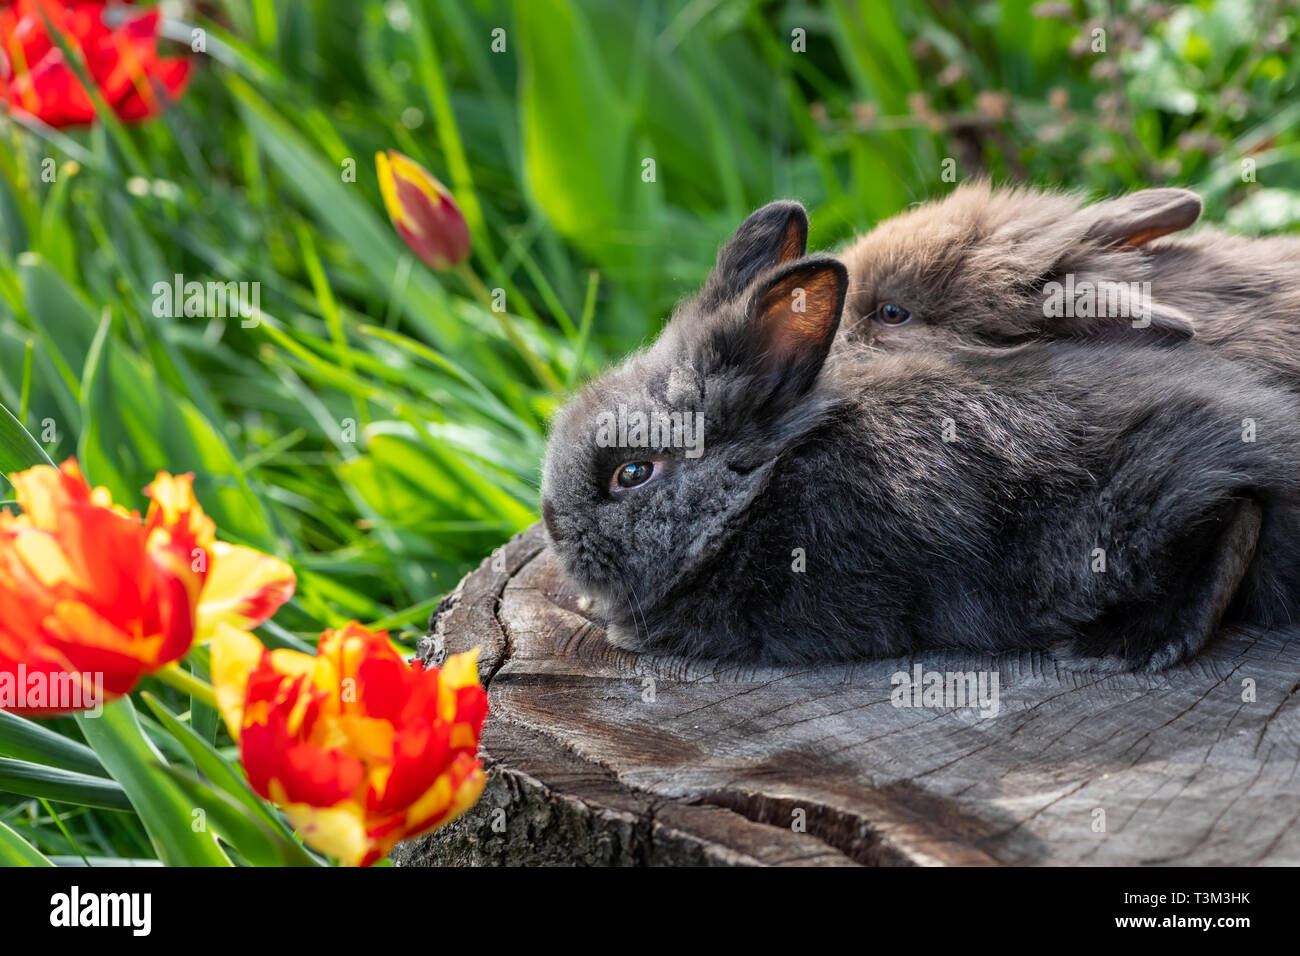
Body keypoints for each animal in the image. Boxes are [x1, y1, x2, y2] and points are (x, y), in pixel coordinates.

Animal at [540, 202, 1300, 671]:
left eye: (632, 474)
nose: (550, 522)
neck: (759, 485)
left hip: (1121, 523)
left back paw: (1127, 646)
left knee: (1236, 514)